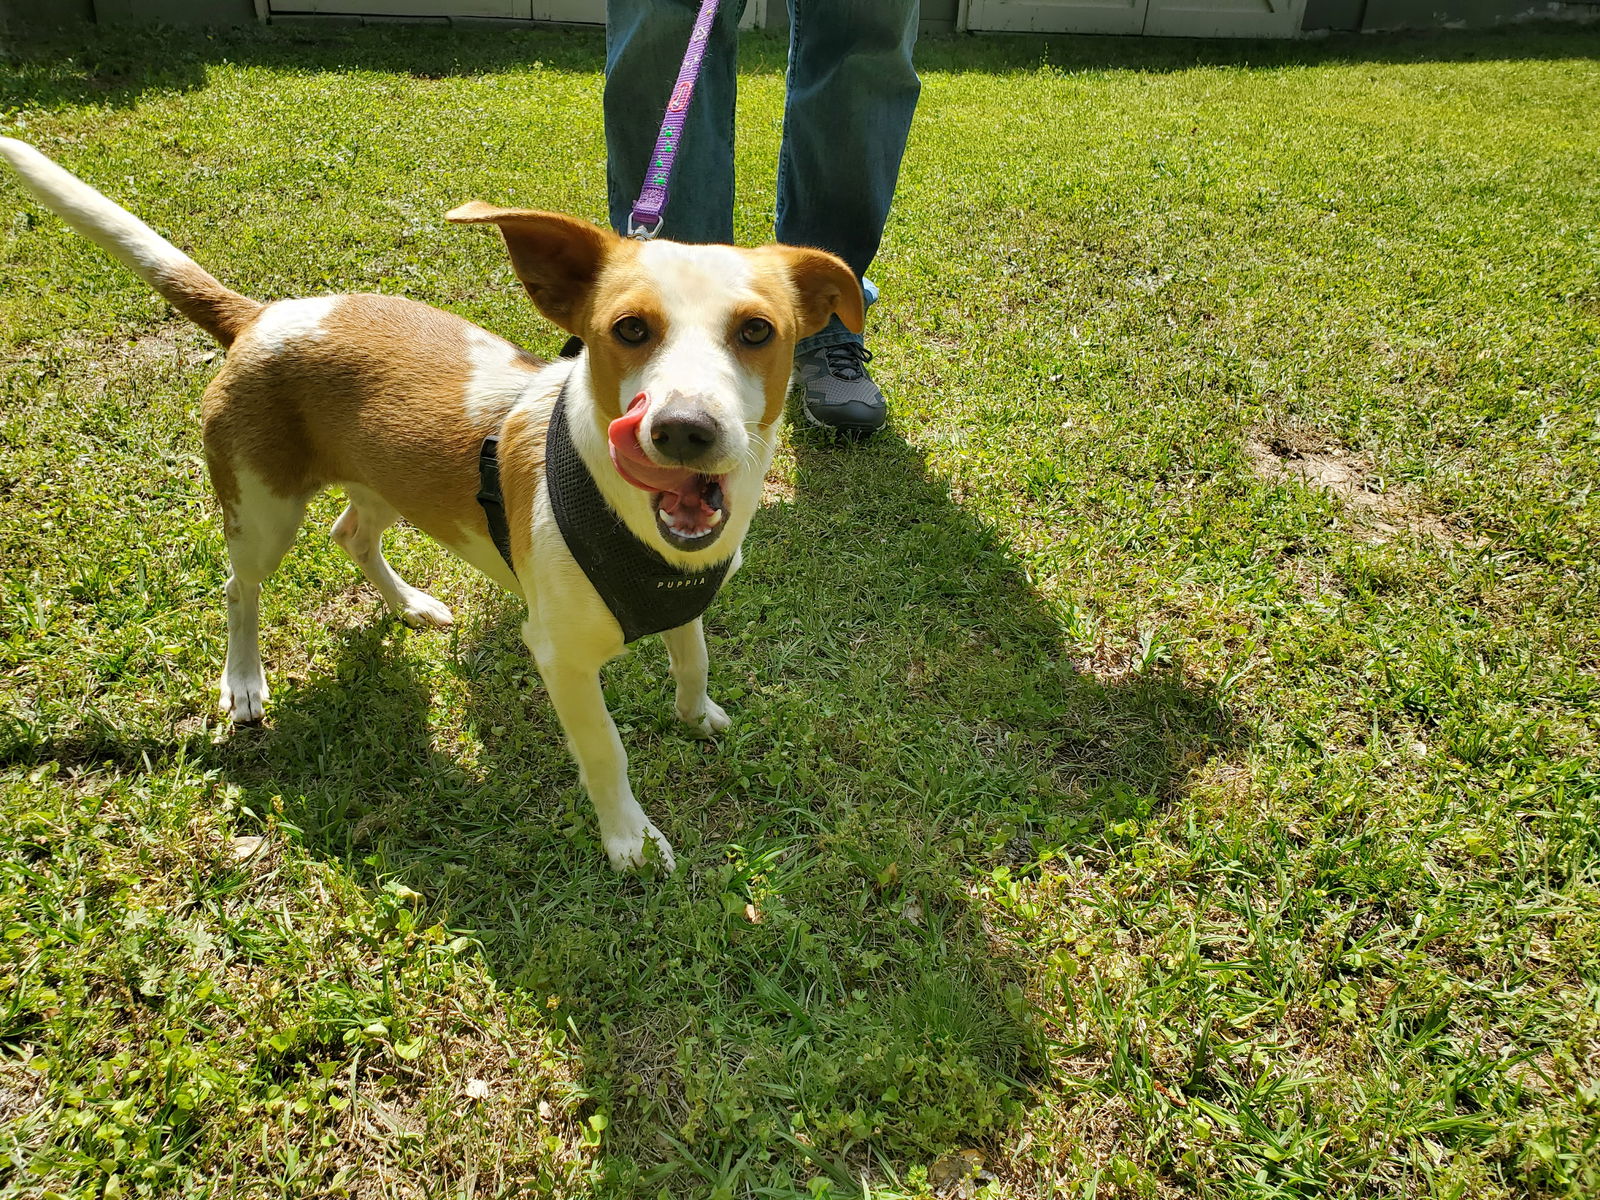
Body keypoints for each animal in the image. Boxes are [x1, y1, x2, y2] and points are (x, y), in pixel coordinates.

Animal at [3, 140, 864, 876]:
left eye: (757, 331)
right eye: (628, 328)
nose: (683, 428)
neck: (642, 534)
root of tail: (260, 317)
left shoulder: (688, 592)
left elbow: (693, 658)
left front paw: (698, 715)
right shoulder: (561, 657)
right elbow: (606, 751)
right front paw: (630, 839)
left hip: (387, 481)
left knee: (351, 533)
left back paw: (409, 605)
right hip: (263, 510)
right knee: (239, 587)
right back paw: (243, 680)